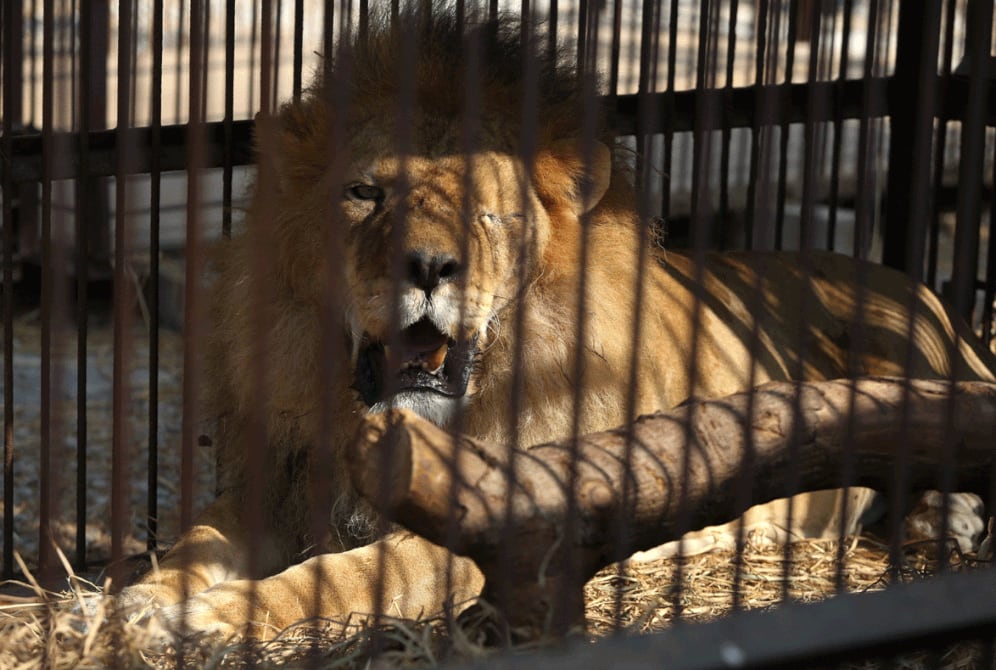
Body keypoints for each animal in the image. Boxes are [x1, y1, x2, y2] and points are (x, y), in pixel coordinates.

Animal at [120, 9, 996, 640]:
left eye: (488, 209)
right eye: (365, 193)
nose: (428, 266)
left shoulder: (494, 529)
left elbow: (338, 575)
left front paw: (210, 619)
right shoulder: (277, 485)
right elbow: (195, 541)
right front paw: (135, 601)